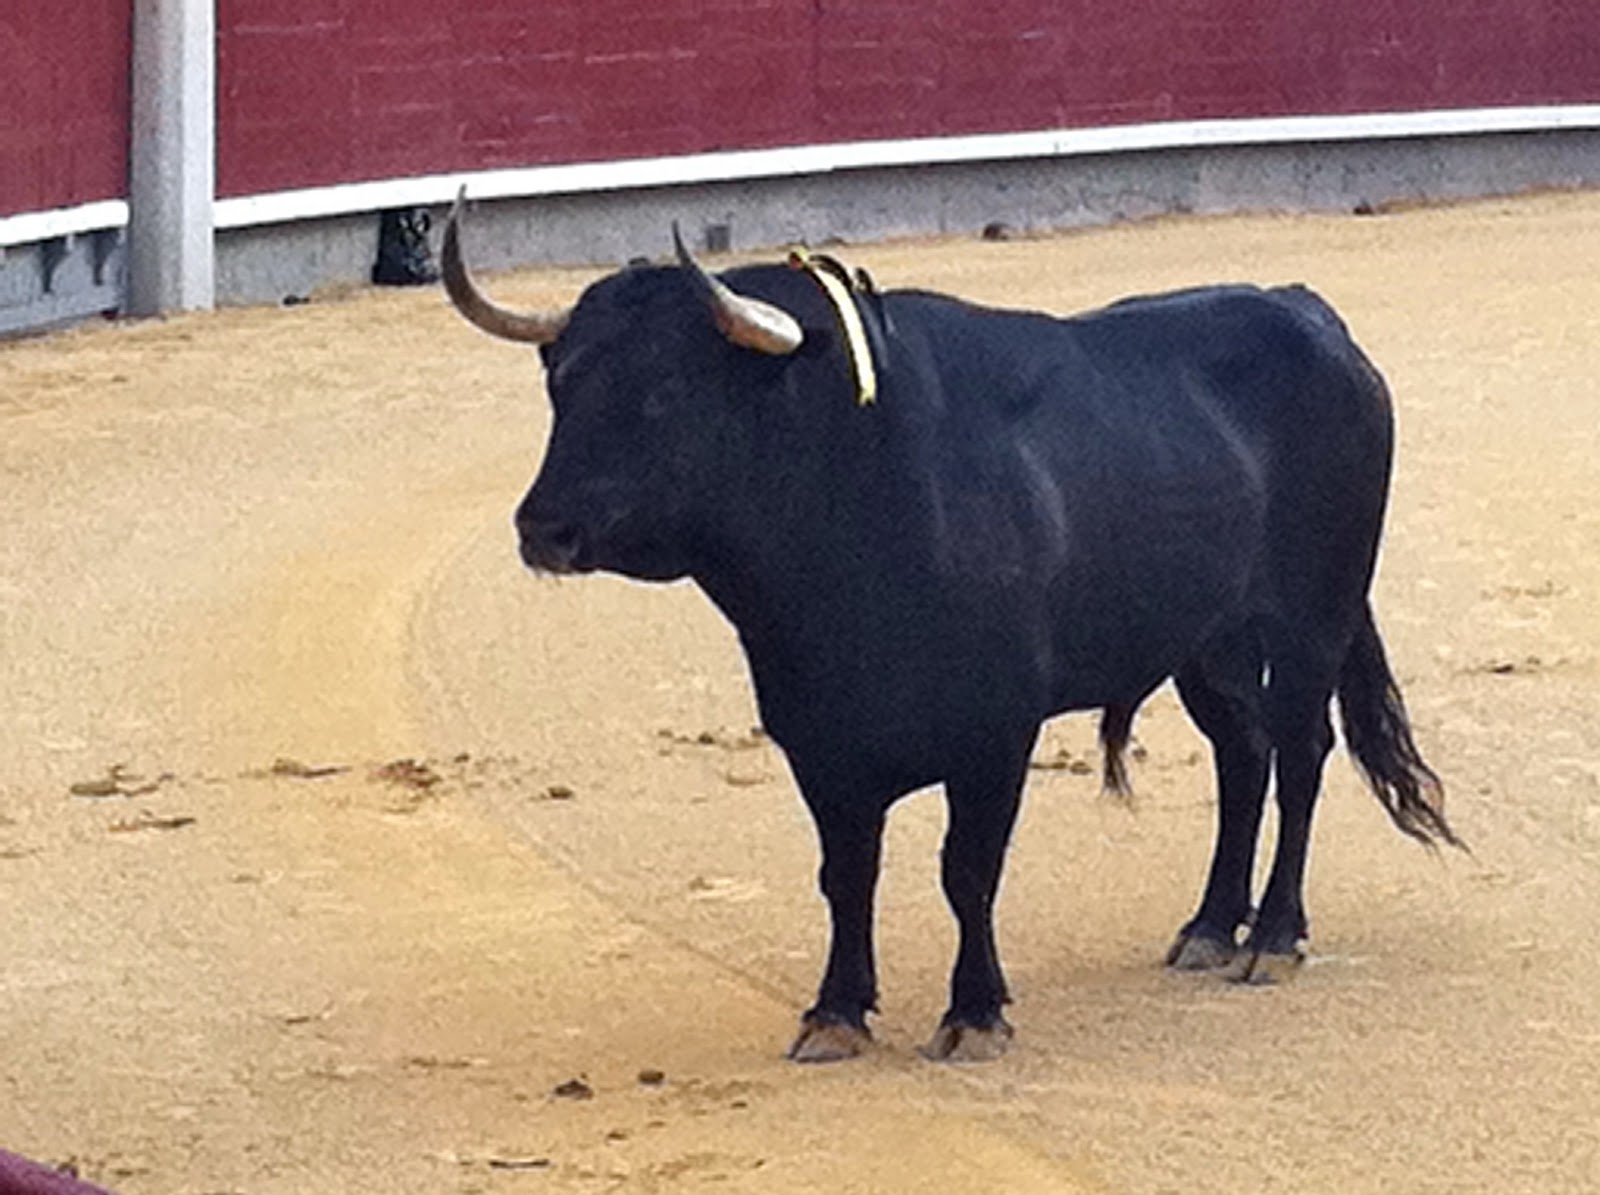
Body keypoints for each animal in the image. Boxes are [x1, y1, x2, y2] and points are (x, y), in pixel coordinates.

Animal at [441, 191, 1458, 1063]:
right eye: (561, 385)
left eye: (663, 392)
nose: (545, 527)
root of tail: (1312, 316)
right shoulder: (818, 736)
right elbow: (847, 871)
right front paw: (836, 1011)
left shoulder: (994, 735)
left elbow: (966, 871)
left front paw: (975, 1013)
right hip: (1203, 642)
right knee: (1242, 753)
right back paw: (1209, 926)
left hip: (1312, 613)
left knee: (1301, 752)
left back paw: (1274, 936)